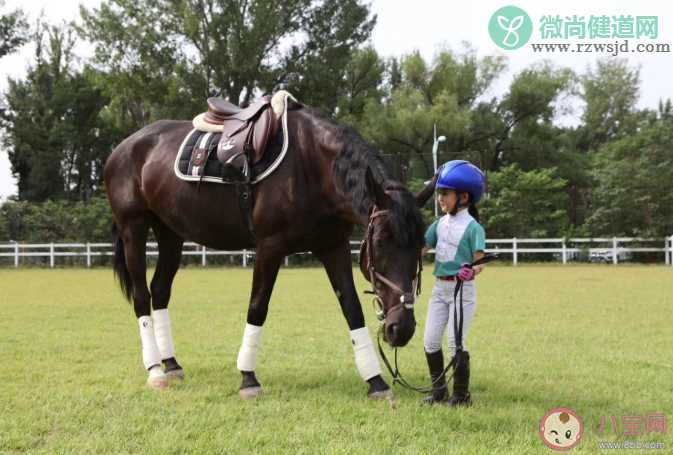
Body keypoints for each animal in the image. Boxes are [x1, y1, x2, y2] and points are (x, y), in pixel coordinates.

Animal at [102, 96, 434, 400]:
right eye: (380, 242)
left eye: (420, 246)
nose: (401, 328)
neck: (313, 166)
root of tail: (123, 147)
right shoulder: (269, 248)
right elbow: (257, 307)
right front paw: (248, 378)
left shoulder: (333, 248)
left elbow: (352, 310)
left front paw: (375, 381)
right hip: (134, 228)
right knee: (142, 297)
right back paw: (155, 371)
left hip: (170, 233)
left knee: (160, 291)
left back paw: (171, 364)